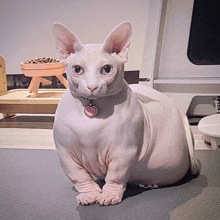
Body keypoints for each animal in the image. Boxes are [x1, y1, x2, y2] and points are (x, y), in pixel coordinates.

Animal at [52, 21, 199, 205]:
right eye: (77, 69)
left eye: (107, 69)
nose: (92, 86)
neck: (92, 108)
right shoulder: (65, 153)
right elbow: (80, 177)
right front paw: (89, 194)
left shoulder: (123, 152)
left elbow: (115, 176)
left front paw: (109, 194)